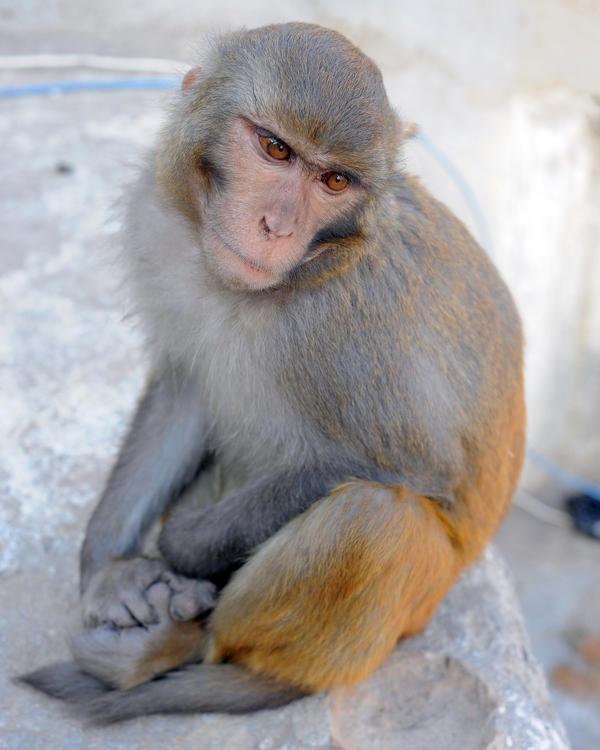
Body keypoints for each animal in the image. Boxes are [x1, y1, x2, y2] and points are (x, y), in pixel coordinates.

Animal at [19, 23, 524, 724]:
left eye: (334, 180)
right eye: (275, 149)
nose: (277, 226)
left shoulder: (349, 324)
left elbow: (415, 465)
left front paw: (178, 546)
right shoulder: (160, 221)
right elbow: (183, 391)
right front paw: (108, 573)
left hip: (411, 606)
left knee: (370, 520)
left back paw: (184, 648)